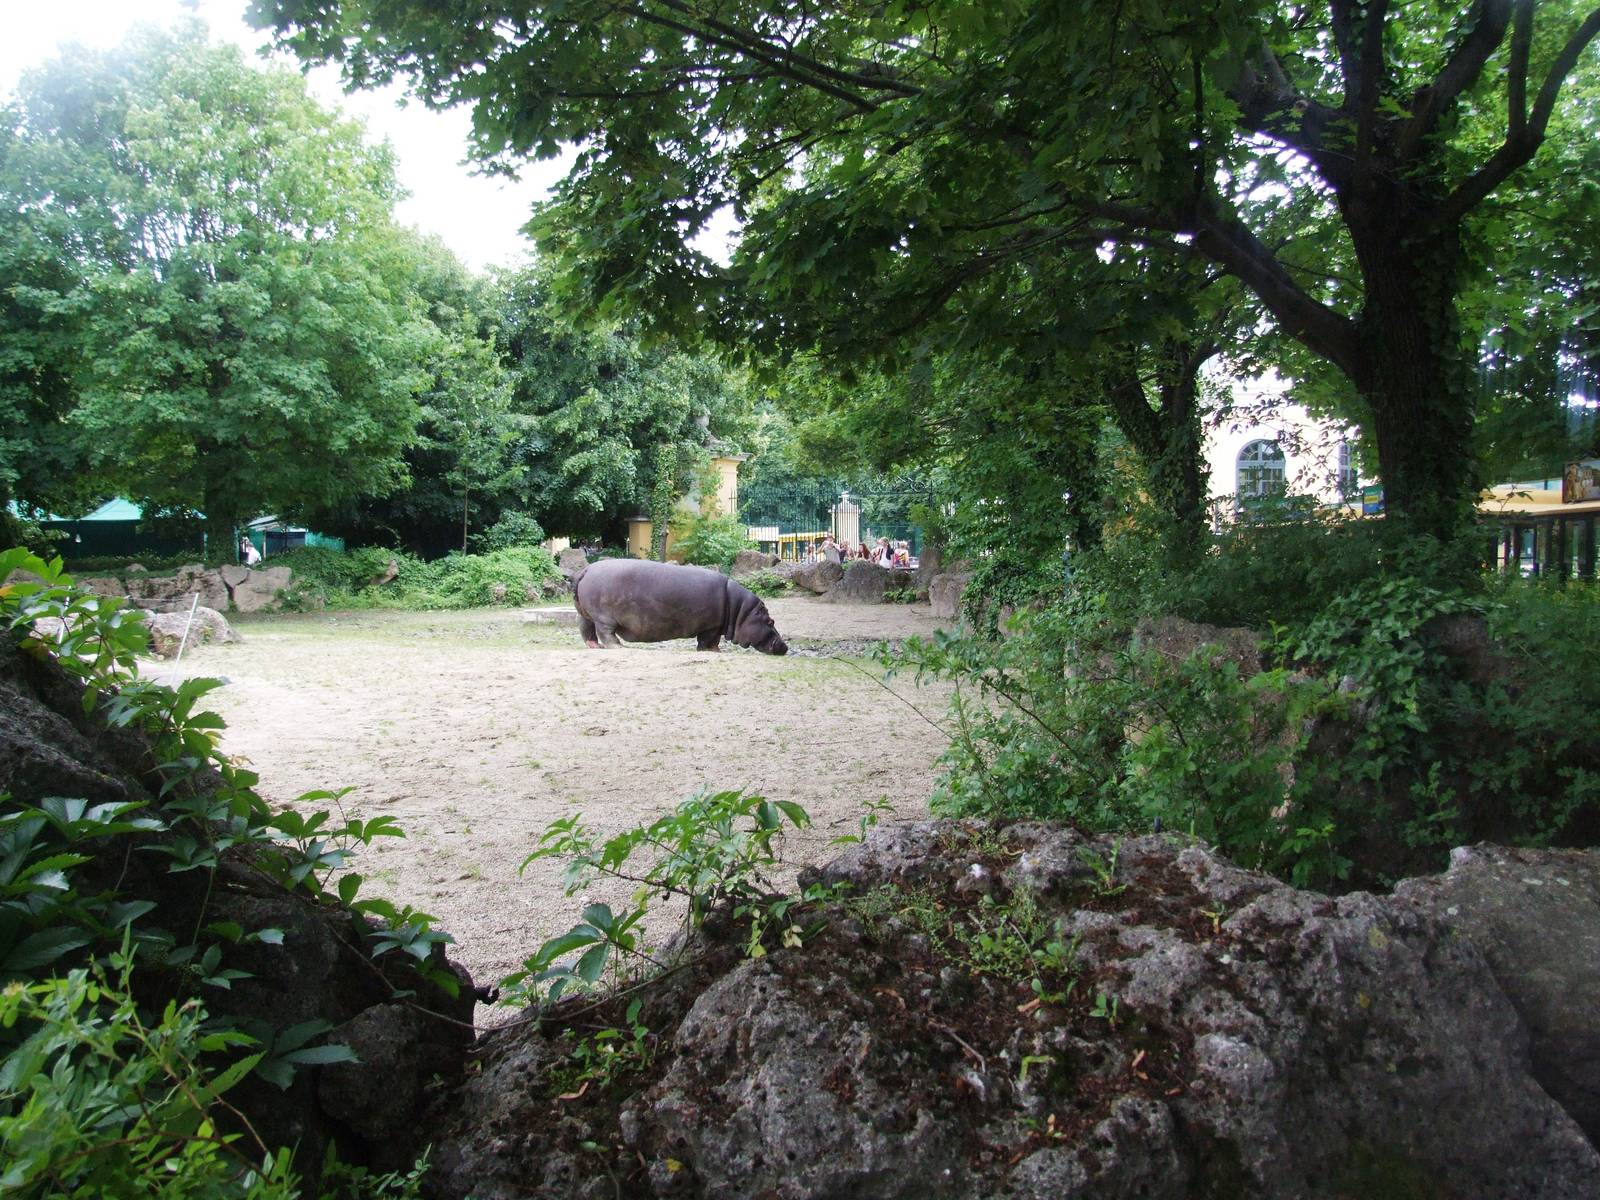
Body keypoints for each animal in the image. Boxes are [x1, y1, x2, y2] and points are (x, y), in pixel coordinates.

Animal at [573, 558, 788, 654]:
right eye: (771, 621)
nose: (785, 646)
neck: (741, 611)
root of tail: (587, 569)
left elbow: (711, 641)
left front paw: (716, 651)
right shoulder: (712, 626)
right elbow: (708, 641)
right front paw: (713, 651)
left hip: (585, 614)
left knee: (586, 630)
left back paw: (594, 646)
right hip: (604, 617)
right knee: (605, 633)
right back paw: (618, 646)